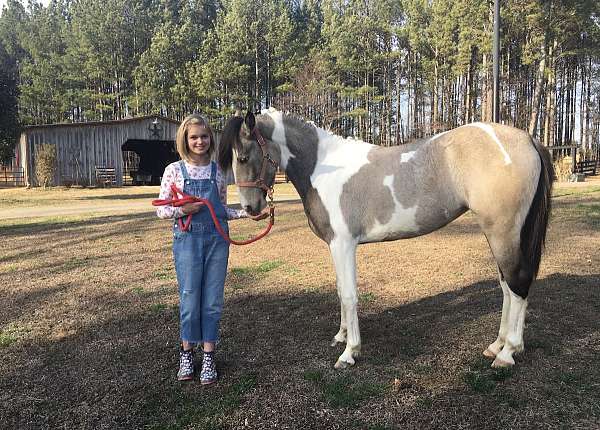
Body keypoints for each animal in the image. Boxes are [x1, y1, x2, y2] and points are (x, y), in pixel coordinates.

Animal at [217, 108, 552, 370]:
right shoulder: (336, 247)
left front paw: (349, 352)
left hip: (503, 233)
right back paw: (497, 346)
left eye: (243, 157)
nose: (250, 209)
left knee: (518, 283)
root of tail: (528, 139)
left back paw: (508, 353)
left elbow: (349, 295)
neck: (323, 168)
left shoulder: (343, 244)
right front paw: (341, 336)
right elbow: (340, 290)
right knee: (507, 286)